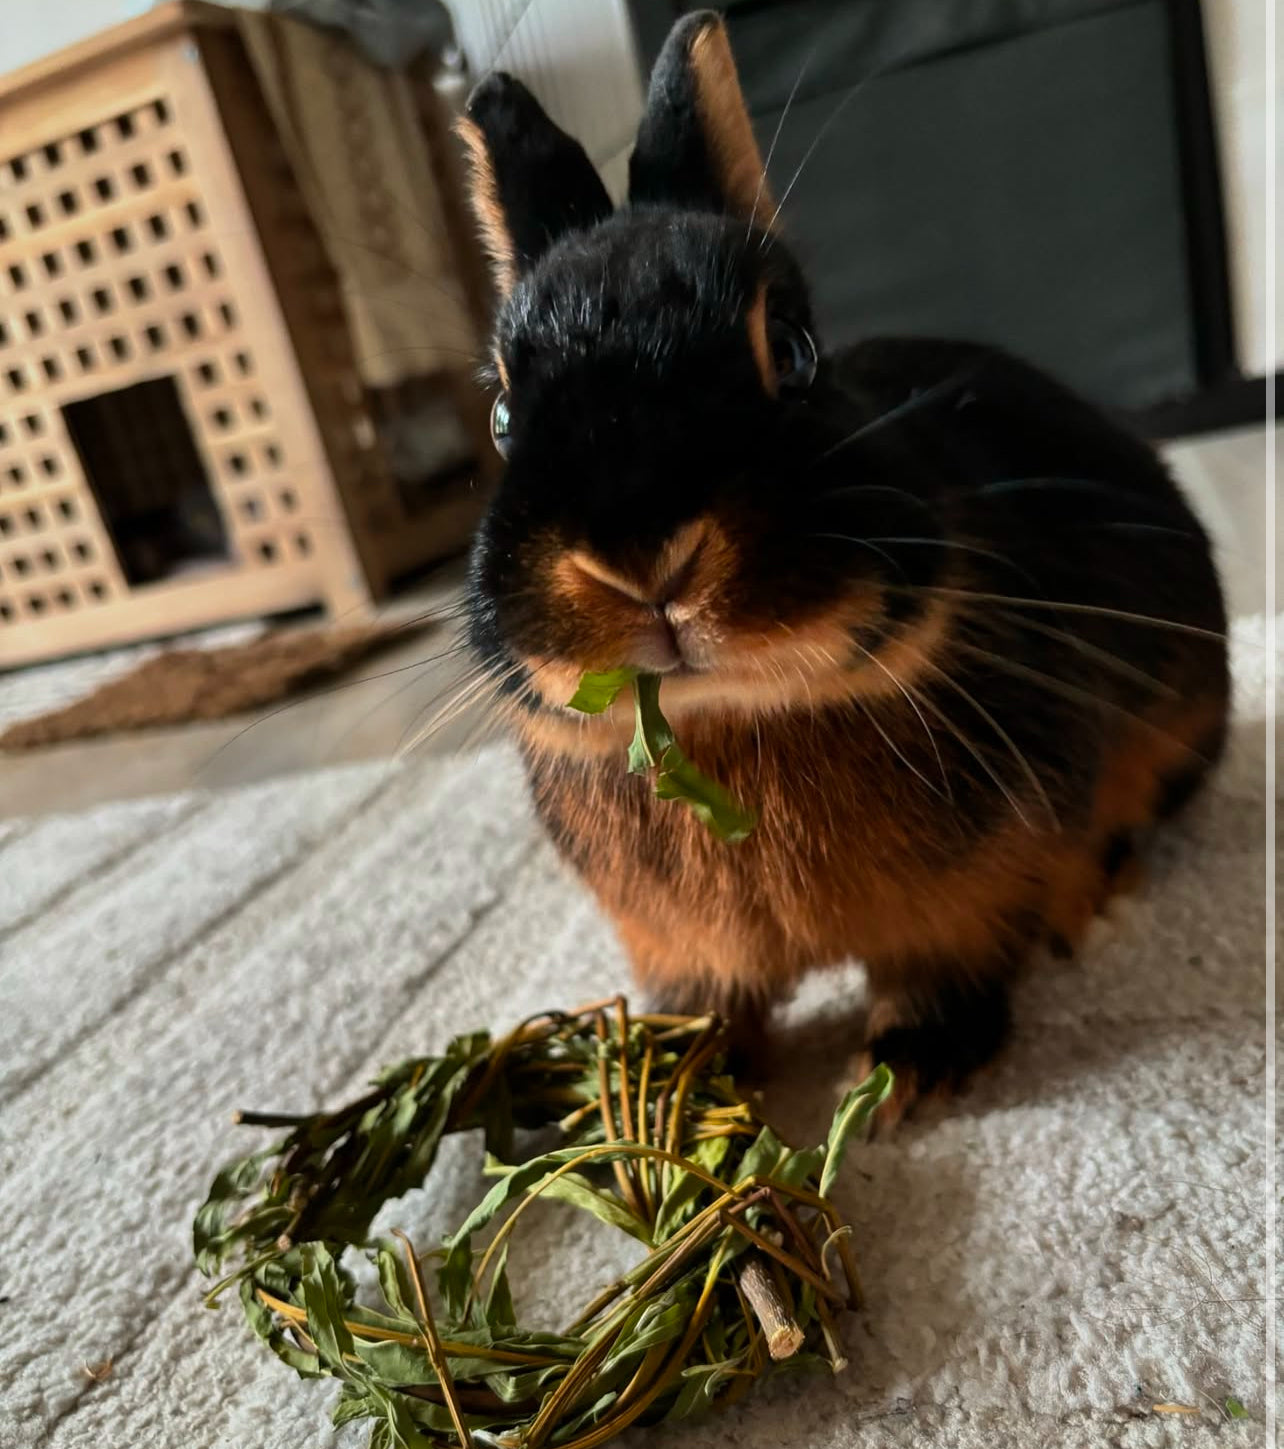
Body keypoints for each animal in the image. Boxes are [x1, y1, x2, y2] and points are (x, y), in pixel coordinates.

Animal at [457, 11, 1228, 1112]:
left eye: (793, 351)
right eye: (502, 415)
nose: (642, 558)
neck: (730, 716)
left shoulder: (969, 899)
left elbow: (942, 967)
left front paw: (910, 1076)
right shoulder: (682, 949)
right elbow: (709, 1011)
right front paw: (662, 1087)